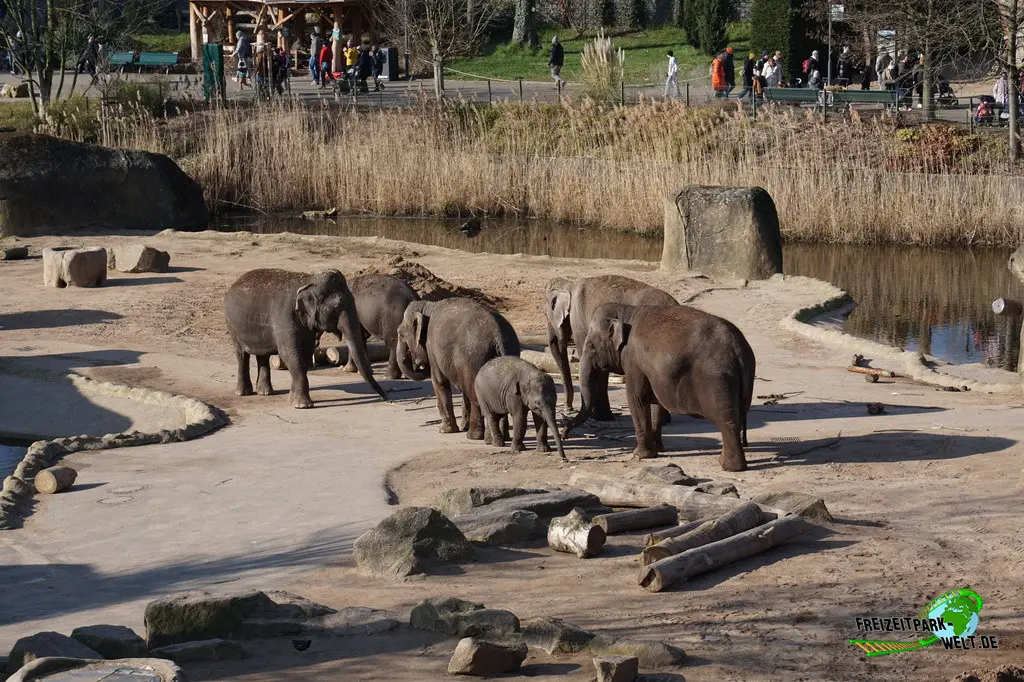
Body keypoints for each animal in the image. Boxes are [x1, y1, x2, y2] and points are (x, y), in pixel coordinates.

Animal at [224, 268, 388, 409]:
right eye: (336, 308)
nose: (385, 398)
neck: (309, 280)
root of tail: (234, 284)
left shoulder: (307, 328)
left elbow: (305, 356)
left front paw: (291, 400)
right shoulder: (284, 318)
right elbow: (289, 354)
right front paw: (303, 405)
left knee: (262, 355)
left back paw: (265, 392)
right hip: (232, 325)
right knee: (242, 355)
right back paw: (242, 393)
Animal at [396, 297, 521, 440]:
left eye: (400, 333)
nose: (417, 363)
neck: (429, 306)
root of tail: (499, 337)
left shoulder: (431, 346)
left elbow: (439, 381)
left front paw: (444, 430)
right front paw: (462, 427)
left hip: (474, 359)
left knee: (475, 395)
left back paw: (474, 436)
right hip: (506, 353)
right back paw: (500, 437)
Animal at [563, 303, 755, 472]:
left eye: (591, 346)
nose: (565, 433)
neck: (626, 312)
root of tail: (737, 349)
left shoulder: (633, 361)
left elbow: (637, 399)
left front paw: (640, 455)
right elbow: (656, 403)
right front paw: (658, 450)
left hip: (717, 380)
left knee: (727, 420)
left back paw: (729, 467)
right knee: (738, 417)